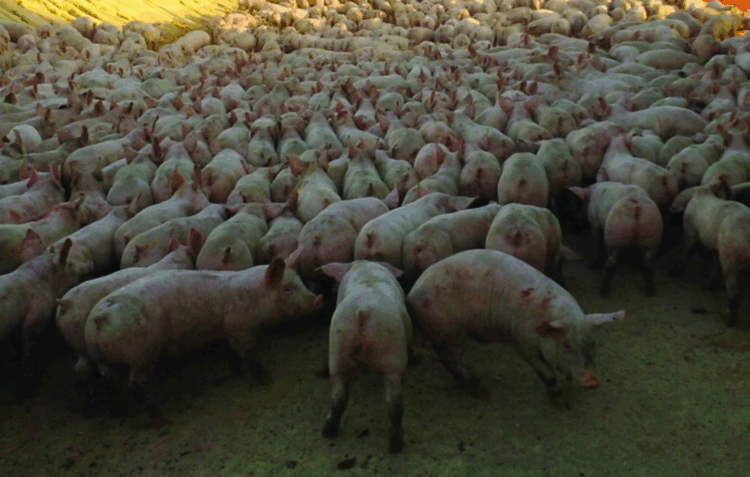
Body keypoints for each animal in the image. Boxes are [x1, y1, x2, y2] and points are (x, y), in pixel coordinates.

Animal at [84, 256, 324, 421]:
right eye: (287, 289)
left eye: (301, 282)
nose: (318, 299)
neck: (253, 296)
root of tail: (99, 317)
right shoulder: (240, 327)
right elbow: (249, 353)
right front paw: (266, 380)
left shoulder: (227, 330)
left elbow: (232, 352)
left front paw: (236, 371)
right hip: (141, 354)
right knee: (135, 387)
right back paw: (161, 418)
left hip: (101, 359)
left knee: (108, 382)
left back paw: (118, 413)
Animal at [316, 261, 414, 454]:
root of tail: (362, 312)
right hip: (393, 355)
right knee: (394, 402)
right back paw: (395, 445)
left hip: (338, 345)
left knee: (338, 396)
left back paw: (328, 431)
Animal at [406, 249, 626, 407]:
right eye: (567, 345)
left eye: (592, 343)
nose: (592, 381)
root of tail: (412, 293)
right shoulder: (522, 342)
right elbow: (547, 374)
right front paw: (561, 404)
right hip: (446, 329)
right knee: (446, 357)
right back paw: (482, 393)